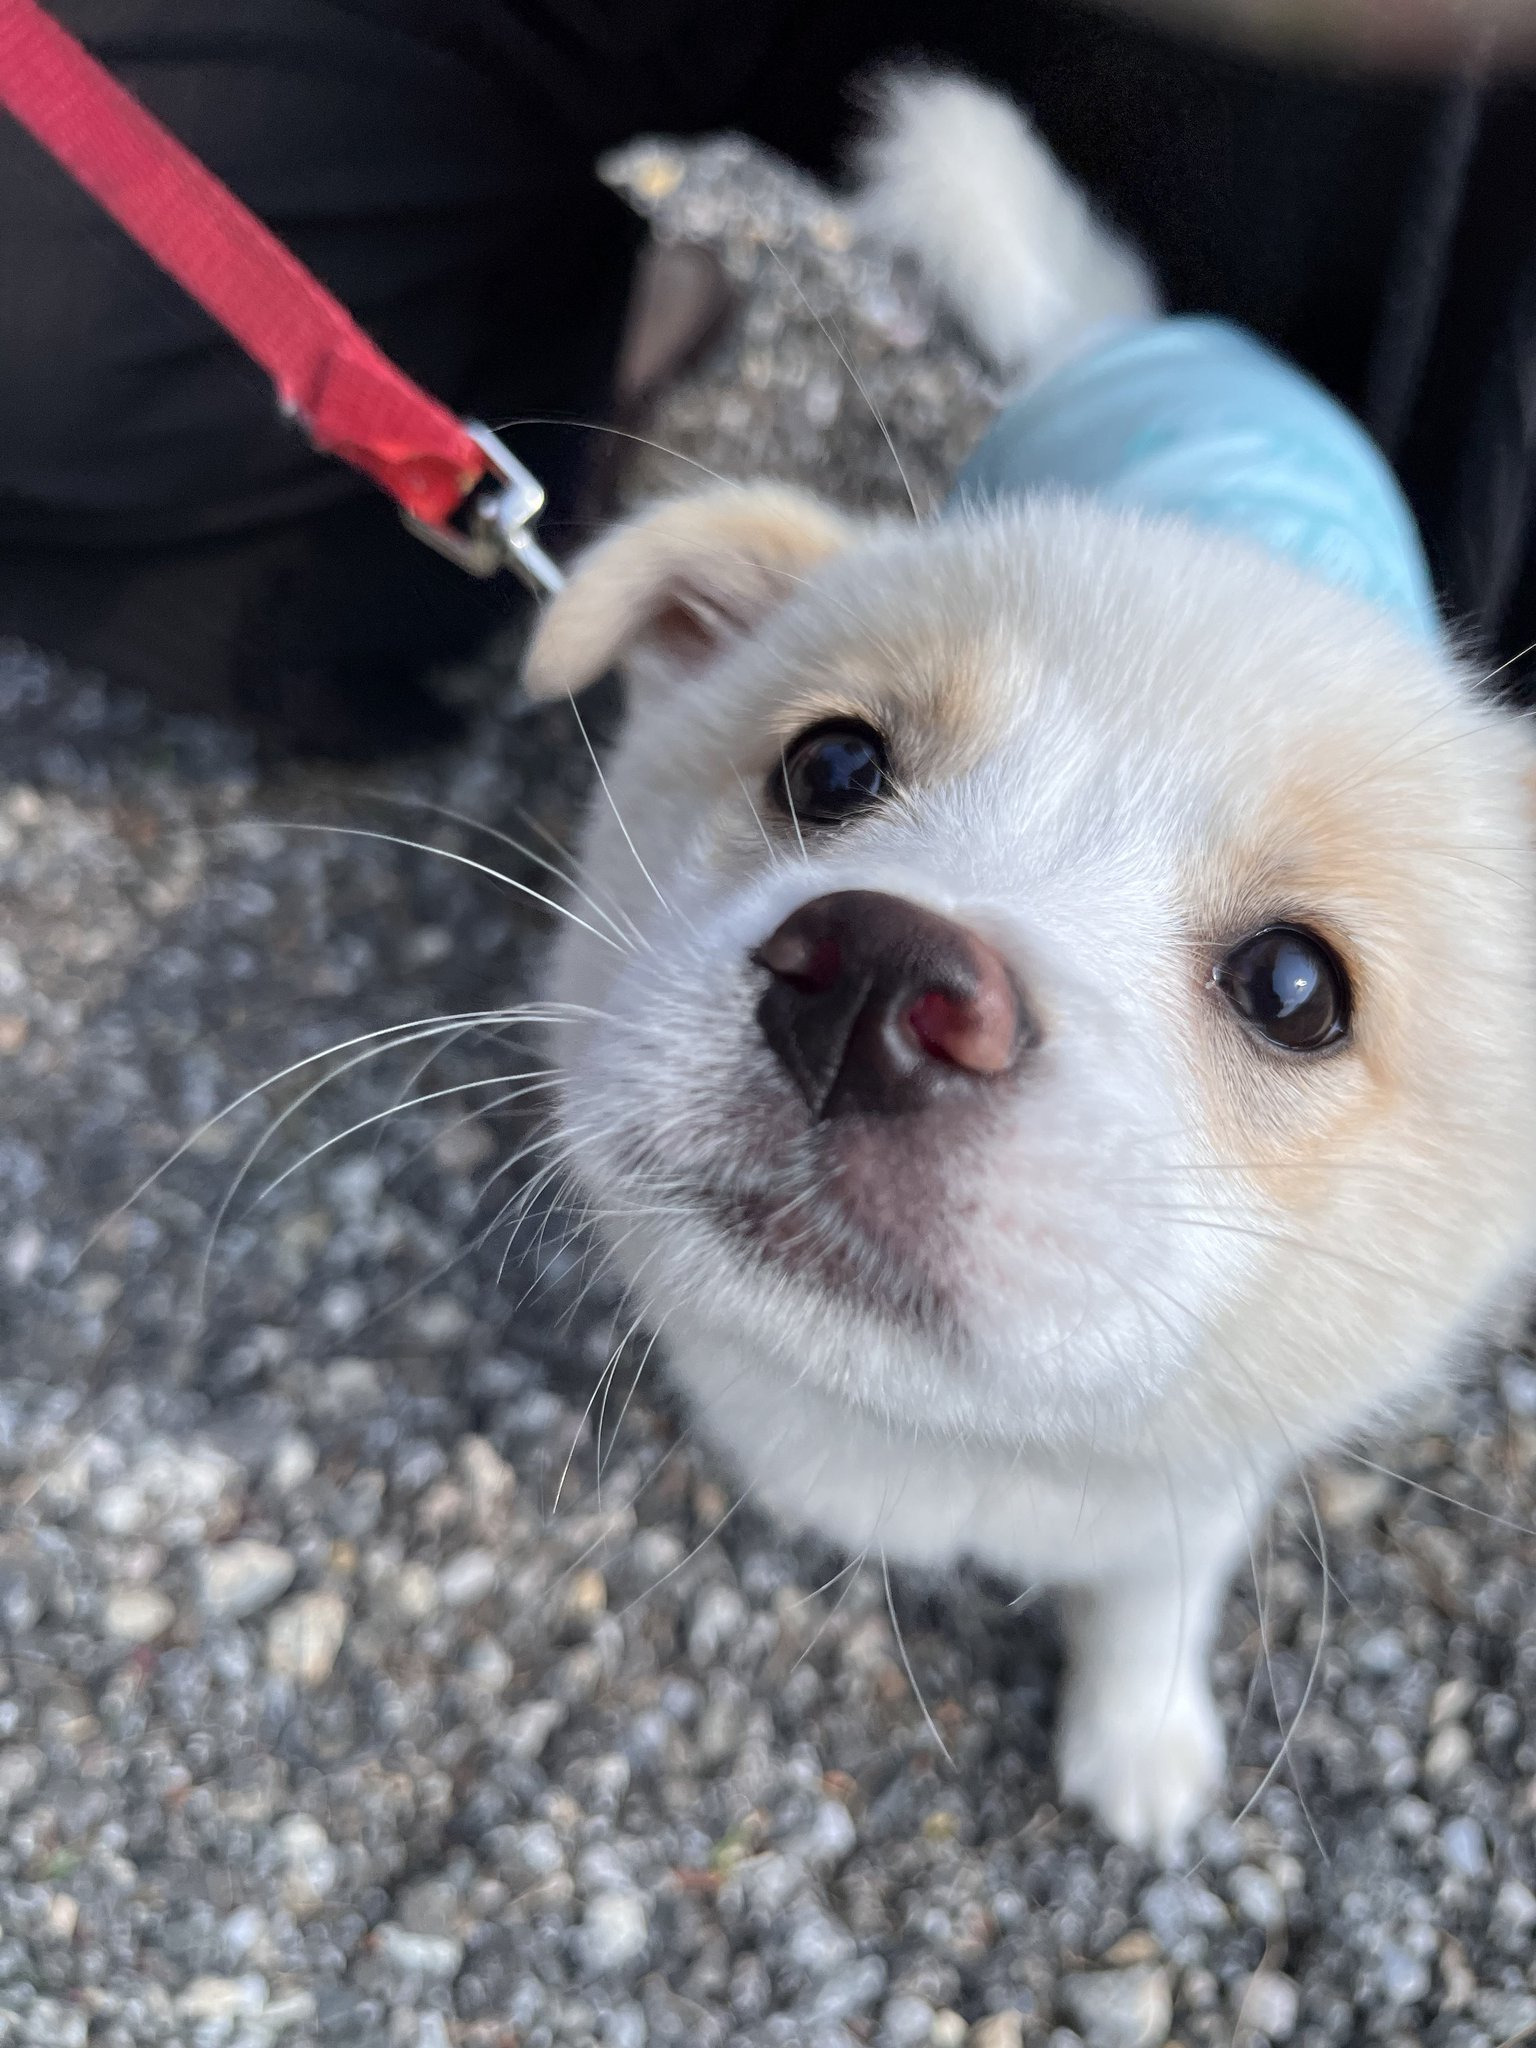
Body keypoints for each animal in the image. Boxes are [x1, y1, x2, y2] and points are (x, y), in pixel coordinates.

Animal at [514, 75, 1536, 1859]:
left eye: (1297, 990)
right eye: (834, 766)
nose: (870, 981)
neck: (948, 1453)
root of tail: (1176, 329)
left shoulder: (1213, 1473)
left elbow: (1158, 1591)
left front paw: (1140, 1745)